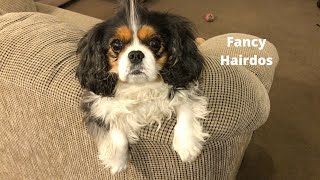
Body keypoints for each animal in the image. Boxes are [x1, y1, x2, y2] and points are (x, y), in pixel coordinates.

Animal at [75, 0, 210, 174]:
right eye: (116, 45)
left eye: (155, 43)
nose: (135, 55)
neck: (140, 85)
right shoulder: (96, 102)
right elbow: (113, 124)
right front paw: (117, 161)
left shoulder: (183, 84)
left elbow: (185, 107)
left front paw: (187, 145)